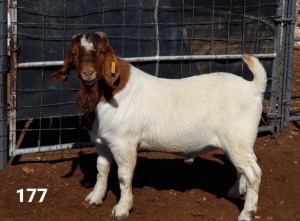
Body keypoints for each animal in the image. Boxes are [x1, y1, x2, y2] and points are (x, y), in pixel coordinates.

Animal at [50, 31, 266, 221]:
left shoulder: (123, 143)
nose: (88, 73)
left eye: (102, 53)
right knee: (246, 166)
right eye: (75, 55)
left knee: (254, 173)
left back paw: (247, 213)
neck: (107, 94)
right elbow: (102, 169)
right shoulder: (102, 142)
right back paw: (236, 191)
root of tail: (253, 88)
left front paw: (122, 209)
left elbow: (124, 176)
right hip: (238, 143)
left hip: (237, 140)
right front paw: (94, 198)